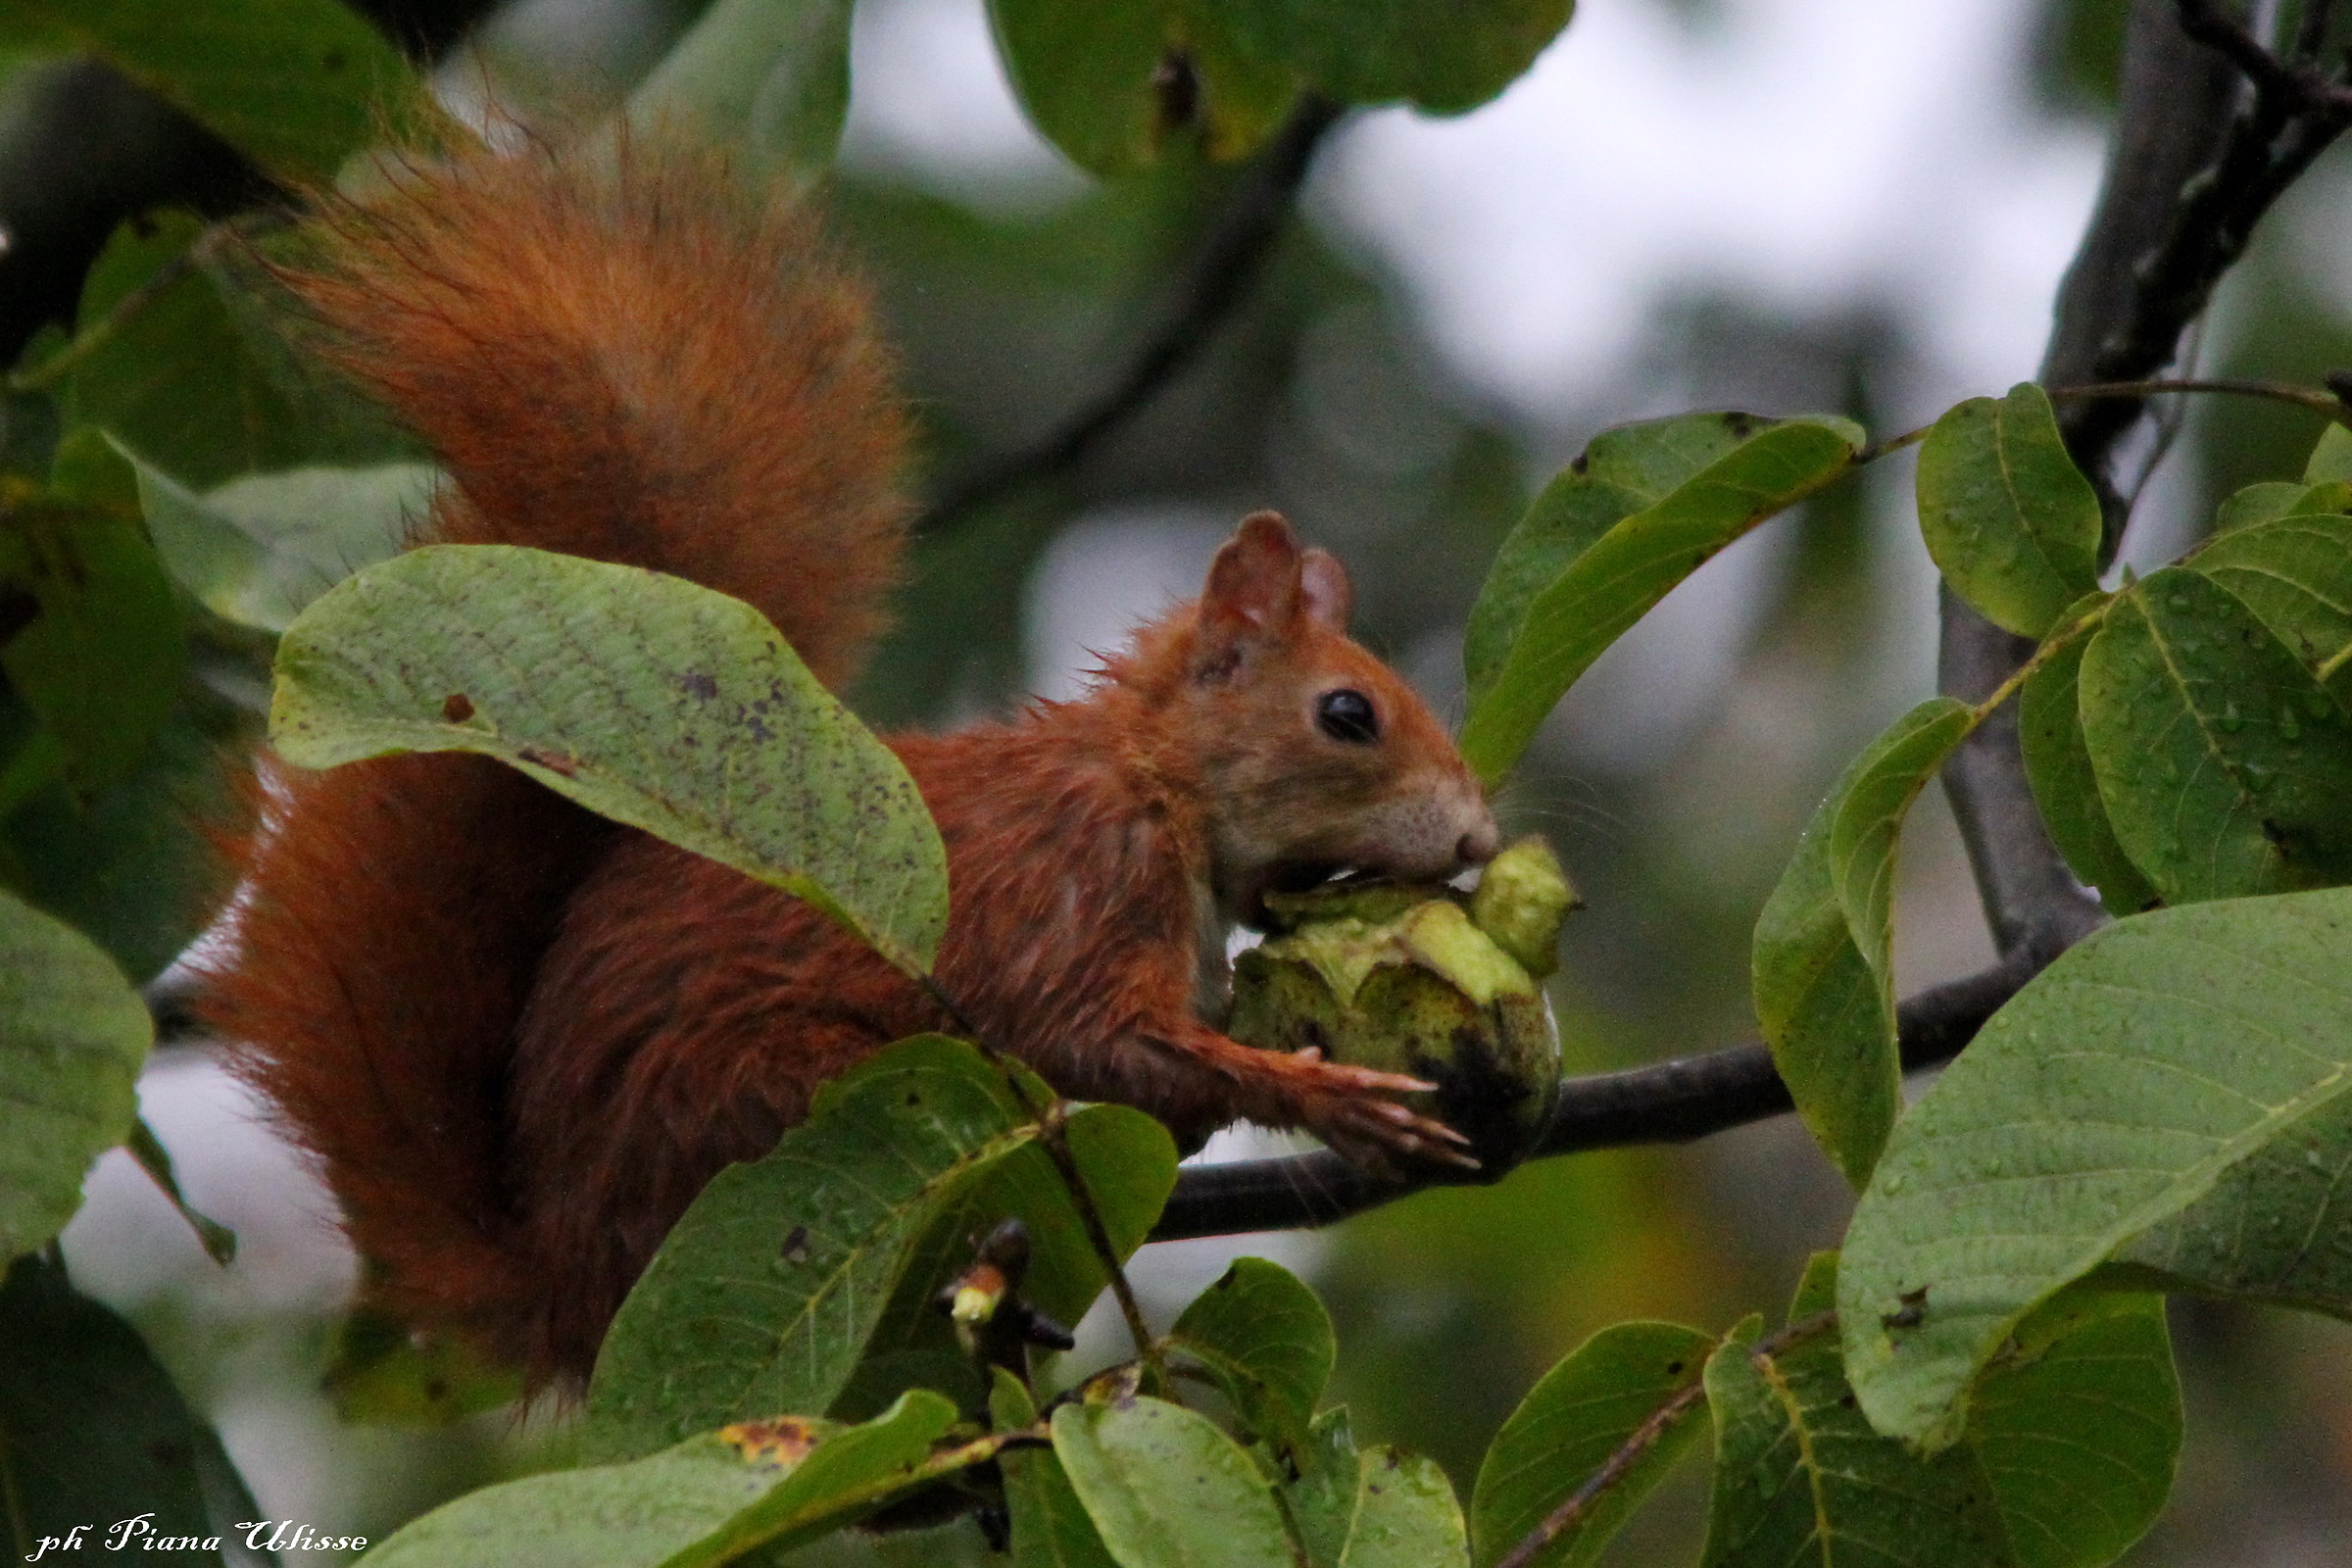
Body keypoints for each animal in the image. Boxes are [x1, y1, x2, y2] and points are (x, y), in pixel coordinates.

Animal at [199, 138, 1502, 1392]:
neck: (1155, 787)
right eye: (1347, 714)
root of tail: (567, 1285)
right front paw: (1323, 1096)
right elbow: (1098, 1034)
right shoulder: (1078, 881)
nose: (1479, 839)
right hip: (791, 1095)